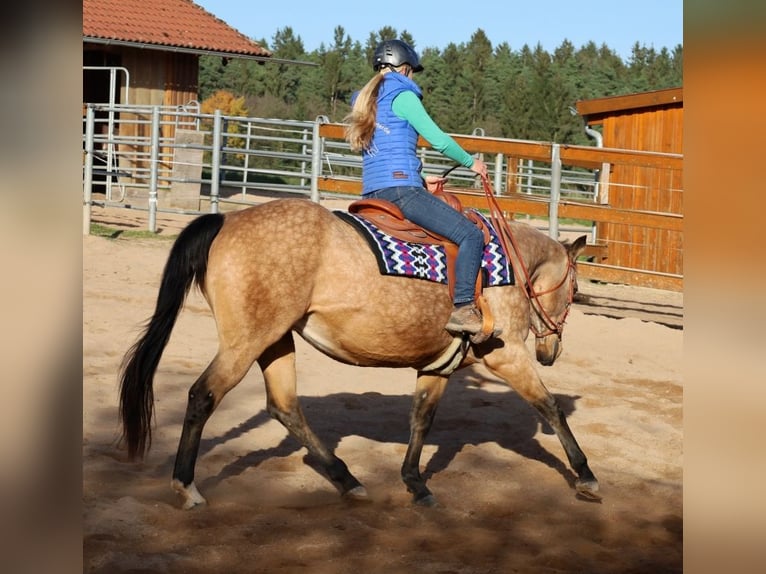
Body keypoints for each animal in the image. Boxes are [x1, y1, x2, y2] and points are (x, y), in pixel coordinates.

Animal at [118, 187, 600, 510]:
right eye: (575, 291)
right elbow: (550, 407)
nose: (551, 351)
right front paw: (586, 475)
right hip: (246, 341)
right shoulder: (507, 354)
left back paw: (346, 479)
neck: (508, 267)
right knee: (203, 395)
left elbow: (422, 420)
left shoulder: (437, 367)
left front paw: (415, 483)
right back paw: (186, 486)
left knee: (285, 406)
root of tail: (225, 221)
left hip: (276, 340)